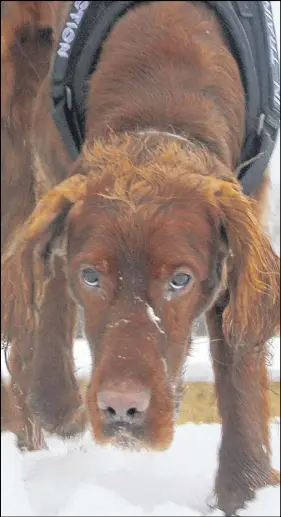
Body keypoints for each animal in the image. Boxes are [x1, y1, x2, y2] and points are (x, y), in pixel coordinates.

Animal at [1, 2, 278, 512]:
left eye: (180, 280)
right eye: (91, 276)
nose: (121, 410)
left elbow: (240, 362)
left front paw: (245, 493)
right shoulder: (53, 171)